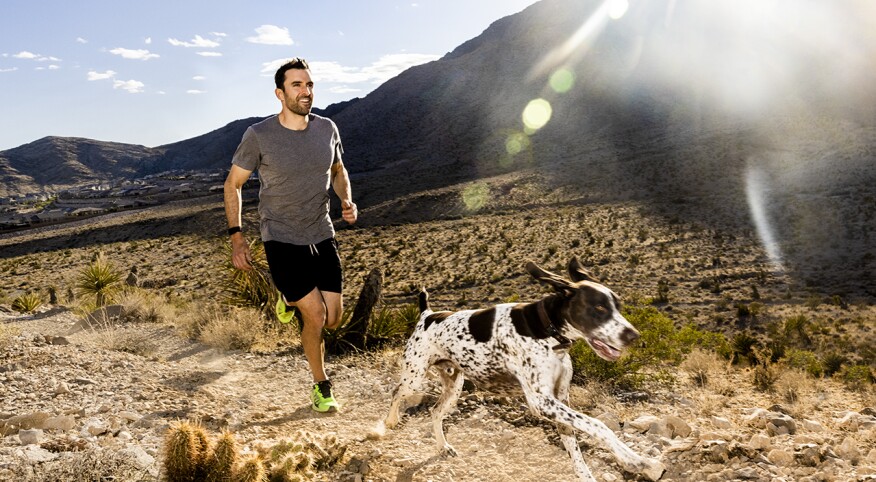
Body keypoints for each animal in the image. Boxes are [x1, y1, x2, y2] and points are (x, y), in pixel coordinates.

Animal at [372, 260, 668, 482]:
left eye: (618, 306)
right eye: (599, 307)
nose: (633, 335)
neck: (549, 331)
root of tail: (427, 314)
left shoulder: (560, 400)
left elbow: (576, 448)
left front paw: (589, 475)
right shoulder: (542, 401)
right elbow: (599, 425)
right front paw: (635, 459)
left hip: (454, 385)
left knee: (435, 412)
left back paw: (443, 446)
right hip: (414, 375)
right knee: (396, 392)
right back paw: (386, 423)